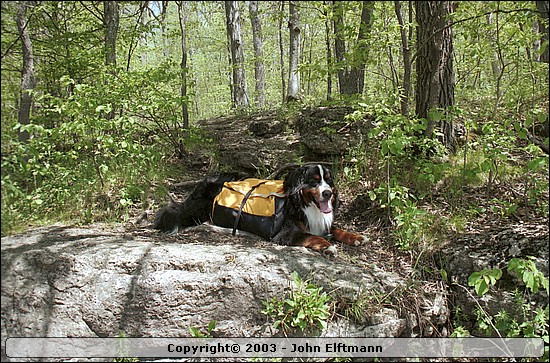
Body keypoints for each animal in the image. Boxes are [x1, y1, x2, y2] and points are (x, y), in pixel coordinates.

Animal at [153, 165, 366, 256]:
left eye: (328, 180)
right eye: (314, 181)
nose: (328, 193)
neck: (302, 203)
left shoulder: (320, 222)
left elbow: (337, 229)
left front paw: (356, 237)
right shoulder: (286, 233)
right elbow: (311, 237)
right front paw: (327, 246)